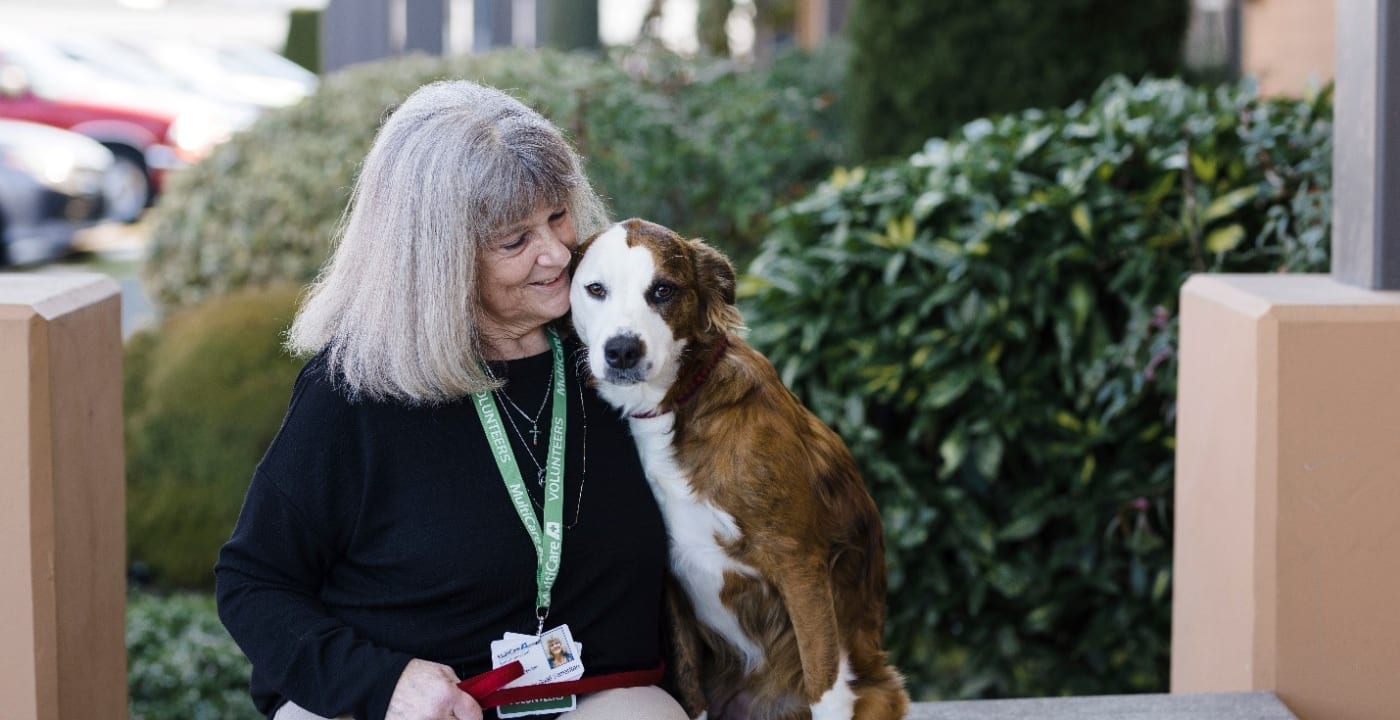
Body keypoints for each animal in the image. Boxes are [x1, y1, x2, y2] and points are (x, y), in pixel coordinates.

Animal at [568, 218, 907, 717]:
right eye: (596, 289)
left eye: (663, 290)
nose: (622, 351)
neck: (679, 403)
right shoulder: (670, 578)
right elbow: (691, 688)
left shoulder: (799, 564)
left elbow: (824, 681)